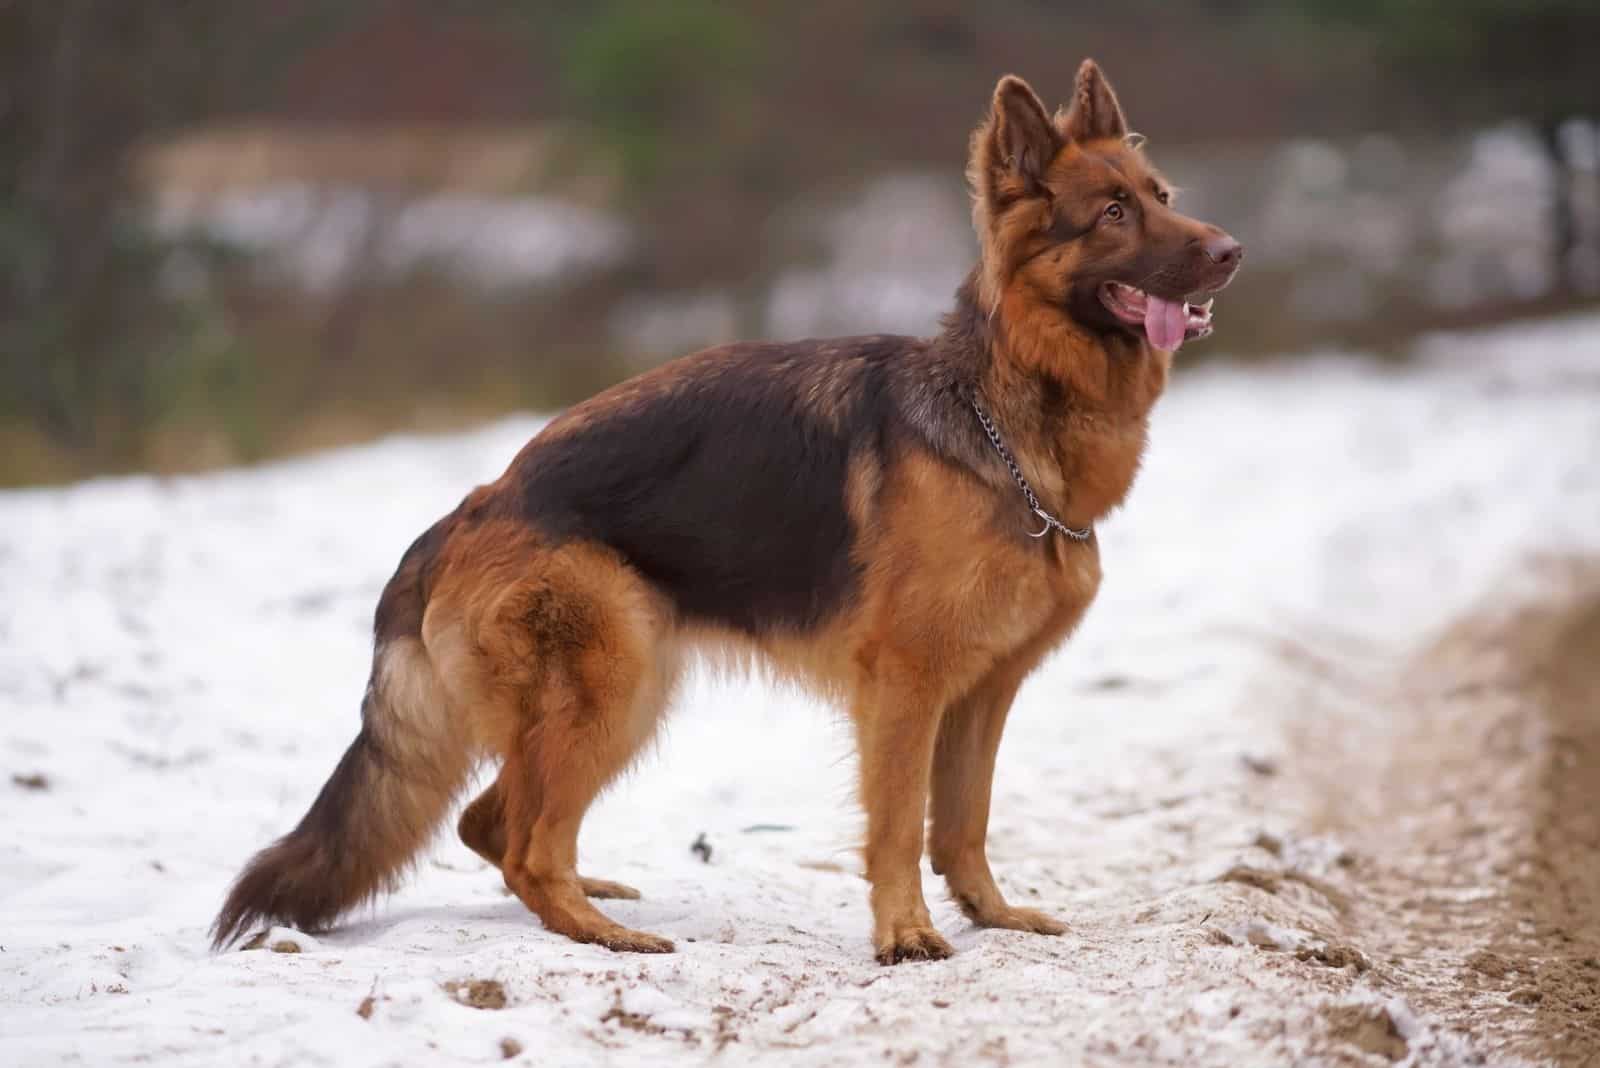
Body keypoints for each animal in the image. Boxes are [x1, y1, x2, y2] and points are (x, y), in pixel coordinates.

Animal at [212, 60, 1235, 965]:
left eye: (1162, 193)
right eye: (1113, 213)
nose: (1230, 253)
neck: (1004, 412)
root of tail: (470, 509)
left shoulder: (984, 692)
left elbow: (965, 824)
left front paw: (993, 916)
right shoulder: (906, 691)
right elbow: (901, 827)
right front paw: (905, 937)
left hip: (626, 694)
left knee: (494, 822)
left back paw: (590, 896)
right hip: (614, 687)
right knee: (524, 841)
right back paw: (599, 931)